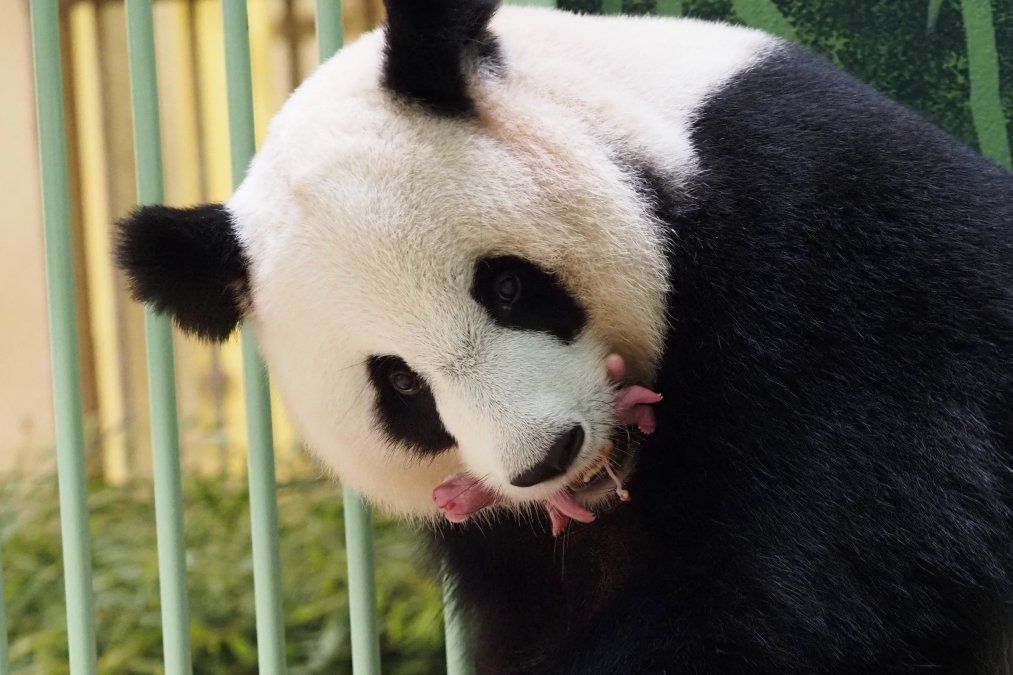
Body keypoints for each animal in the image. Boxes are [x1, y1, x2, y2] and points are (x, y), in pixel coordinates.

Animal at [114, 2, 1013, 668]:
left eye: (508, 287)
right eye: (400, 385)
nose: (546, 455)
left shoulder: (837, 273)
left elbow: (803, 584)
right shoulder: (510, 550)